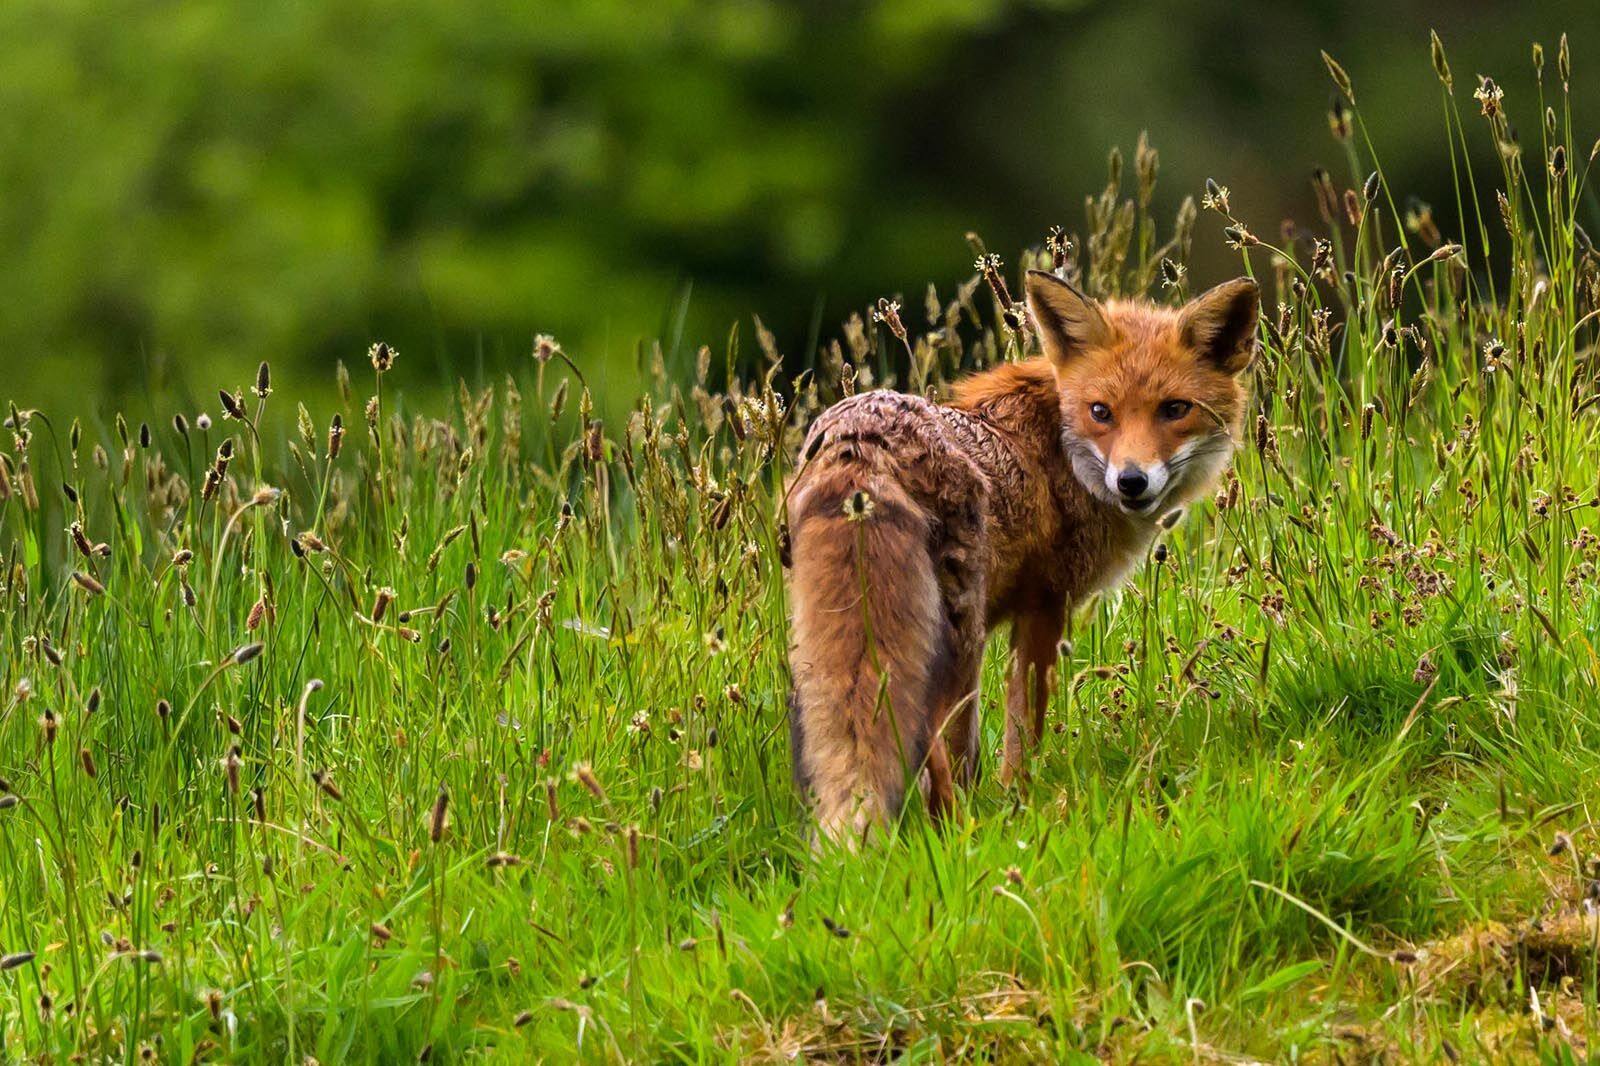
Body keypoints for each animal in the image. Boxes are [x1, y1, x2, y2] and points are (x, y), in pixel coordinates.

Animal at [784, 268, 1258, 842]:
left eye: (1175, 409)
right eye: (1101, 412)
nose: (1131, 481)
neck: (1059, 449)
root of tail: (859, 439)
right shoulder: (1044, 608)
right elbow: (1022, 729)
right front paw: (1018, 805)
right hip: (957, 641)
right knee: (928, 736)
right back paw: (958, 833)